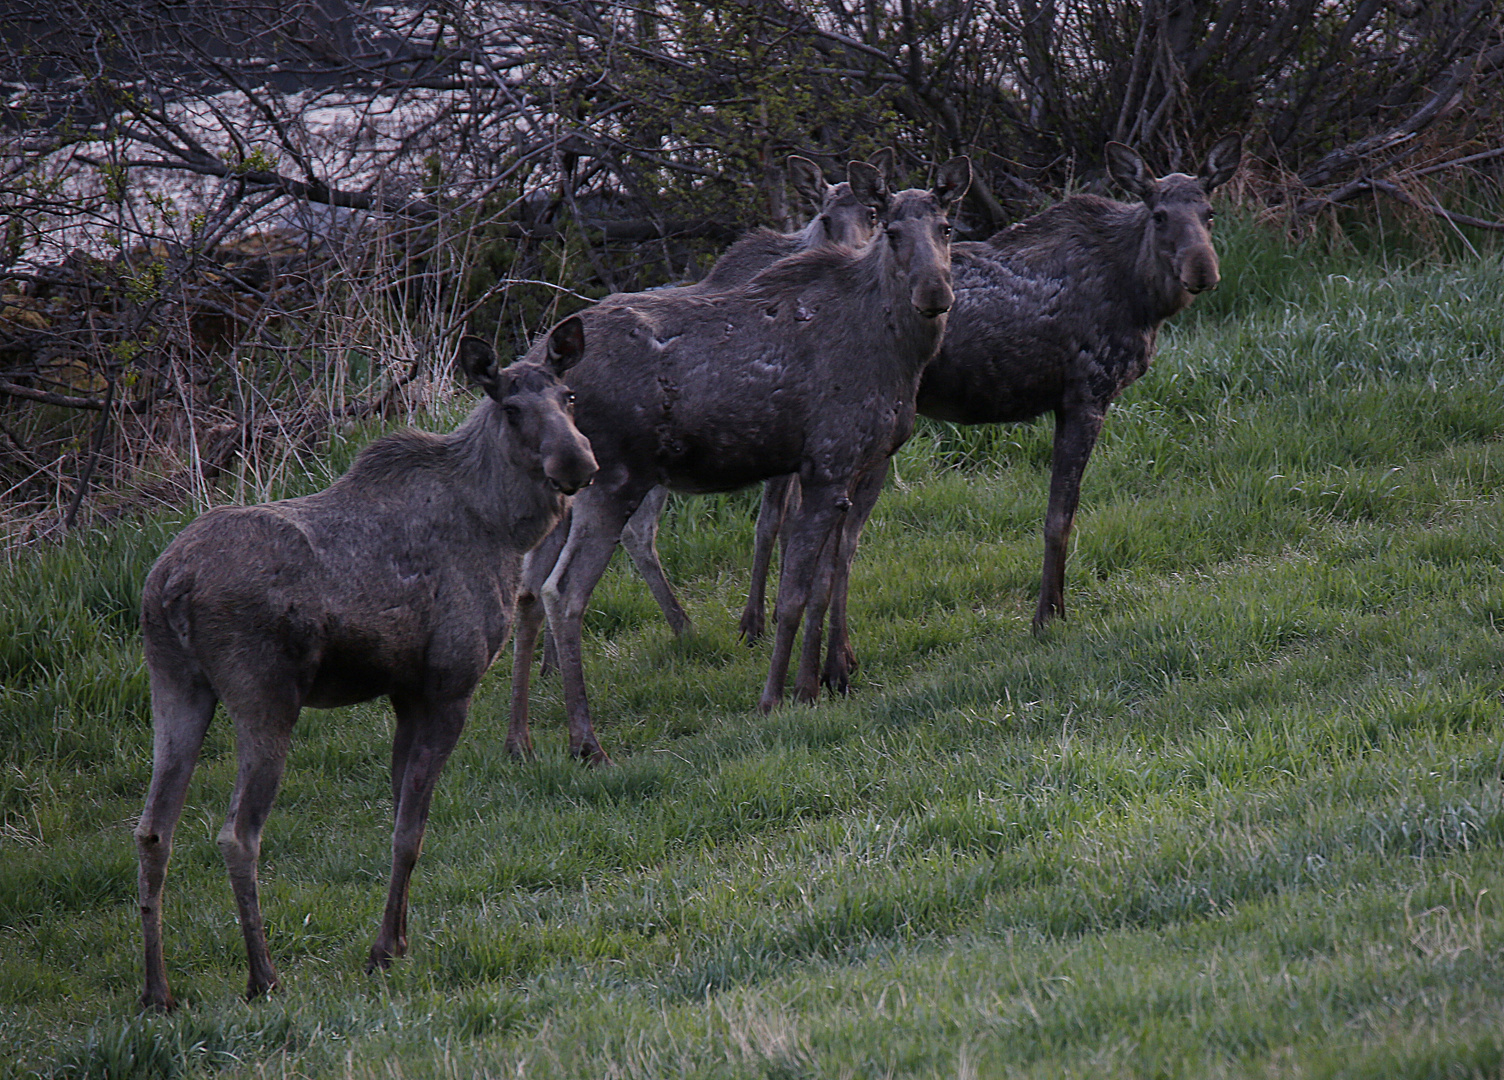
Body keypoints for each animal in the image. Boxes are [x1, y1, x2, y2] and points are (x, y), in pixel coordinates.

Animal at [133, 326, 592, 1010]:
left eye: (568, 396)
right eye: (511, 409)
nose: (578, 463)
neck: (502, 528)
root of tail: (169, 587)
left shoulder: (405, 693)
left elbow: (401, 818)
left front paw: (398, 939)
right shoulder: (448, 686)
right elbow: (410, 829)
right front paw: (382, 950)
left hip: (177, 685)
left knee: (153, 830)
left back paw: (156, 991)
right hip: (263, 694)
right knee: (237, 833)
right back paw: (263, 976)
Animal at [508, 156, 974, 767]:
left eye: (946, 227)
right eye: (892, 231)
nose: (935, 292)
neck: (901, 354)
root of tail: (541, 364)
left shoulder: (849, 468)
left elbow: (825, 581)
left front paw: (820, 683)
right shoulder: (828, 464)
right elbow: (793, 594)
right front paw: (776, 697)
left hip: (565, 491)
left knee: (526, 589)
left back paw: (521, 739)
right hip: (612, 482)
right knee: (564, 592)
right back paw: (586, 742)